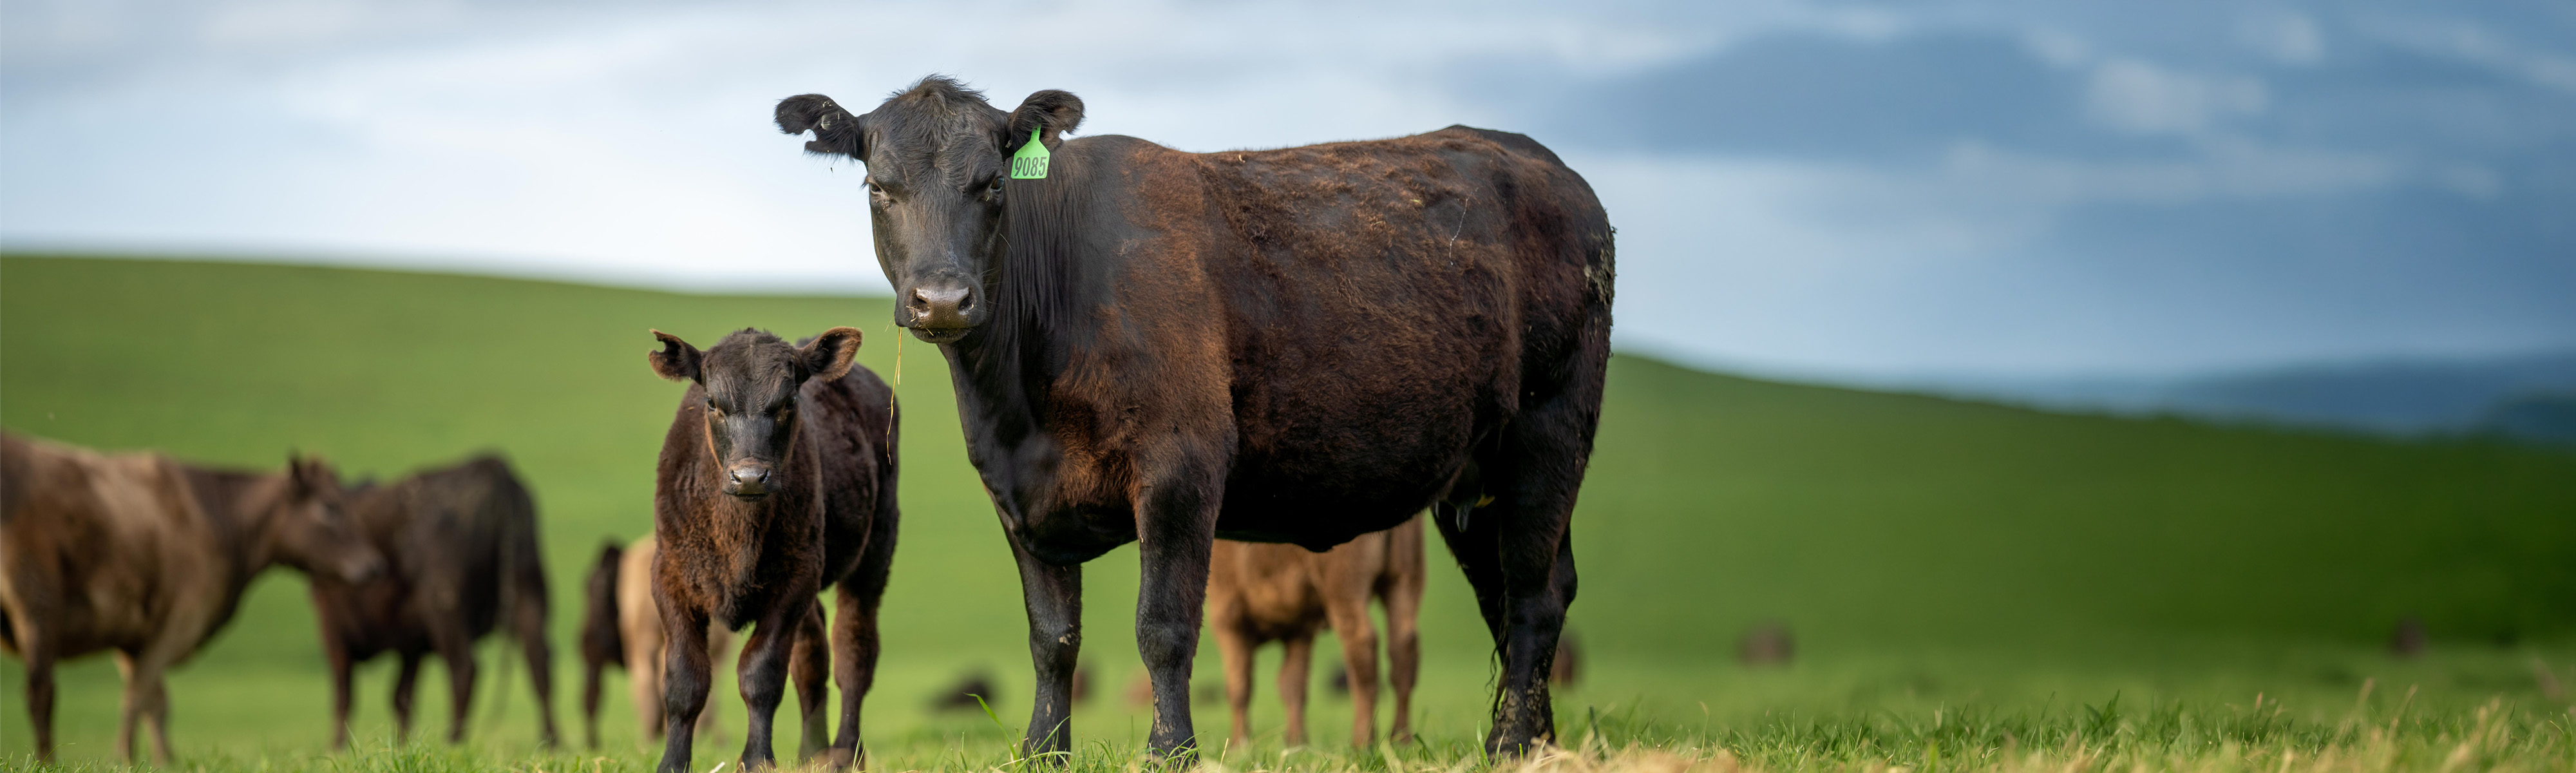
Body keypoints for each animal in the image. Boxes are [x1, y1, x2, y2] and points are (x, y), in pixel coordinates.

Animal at [0, 432, 385, 763]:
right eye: (331, 506)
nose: (375, 564)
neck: (215, 519)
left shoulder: (132, 635)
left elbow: (154, 701)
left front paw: (163, 760)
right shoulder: (178, 620)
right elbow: (141, 695)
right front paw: (125, 758)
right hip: (37, 603)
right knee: (41, 691)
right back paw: (48, 761)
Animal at [304, 454, 559, 750]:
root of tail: (491, 466)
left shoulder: (333, 630)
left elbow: (344, 695)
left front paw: (338, 747)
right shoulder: (411, 642)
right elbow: (401, 697)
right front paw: (401, 744)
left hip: (445, 602)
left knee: (464, 668)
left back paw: (454, 740)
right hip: (528, 590)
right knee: (539, 662)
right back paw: (551, 740)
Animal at [645, 326, 899, 773]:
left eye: (789, 402)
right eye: (712, 402)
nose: (749, 477)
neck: (738, 537)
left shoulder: (793, 582)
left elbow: (760, 674)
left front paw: (757, 758)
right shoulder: (669, 576)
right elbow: (684, 681)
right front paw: (673, 762)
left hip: (873, 552)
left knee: (854, 651)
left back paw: (845, 753)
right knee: (813, 654)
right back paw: (812, 752)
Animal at [1208, 515, 1424, 747]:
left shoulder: (1228, 616)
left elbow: (1240, 686)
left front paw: (1238, 745)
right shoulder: (1299, 629)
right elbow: (1293, 685)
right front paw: (1296, 743)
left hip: (1344, 589)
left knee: (1362, 645)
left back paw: (1362, 742)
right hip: (1404, 581)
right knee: (1403, 647)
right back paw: (1402, 739)